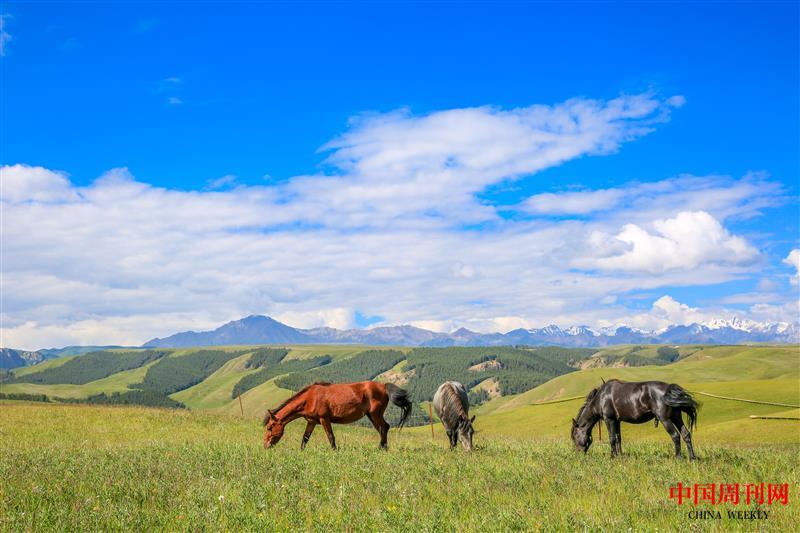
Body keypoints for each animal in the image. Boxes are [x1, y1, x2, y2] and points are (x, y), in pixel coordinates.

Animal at [262, 378, 412, 448]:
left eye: (269, 427)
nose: (265, 446)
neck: (310, 398)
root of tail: (383, 386)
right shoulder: (312, 422)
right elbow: (305, 438)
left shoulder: (324, 419)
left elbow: (331, 437)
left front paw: (335, 452)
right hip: (372, 416)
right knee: (382, 429)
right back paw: (382, 448)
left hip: (376, 414)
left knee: (384, 427)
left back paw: (382, 448)